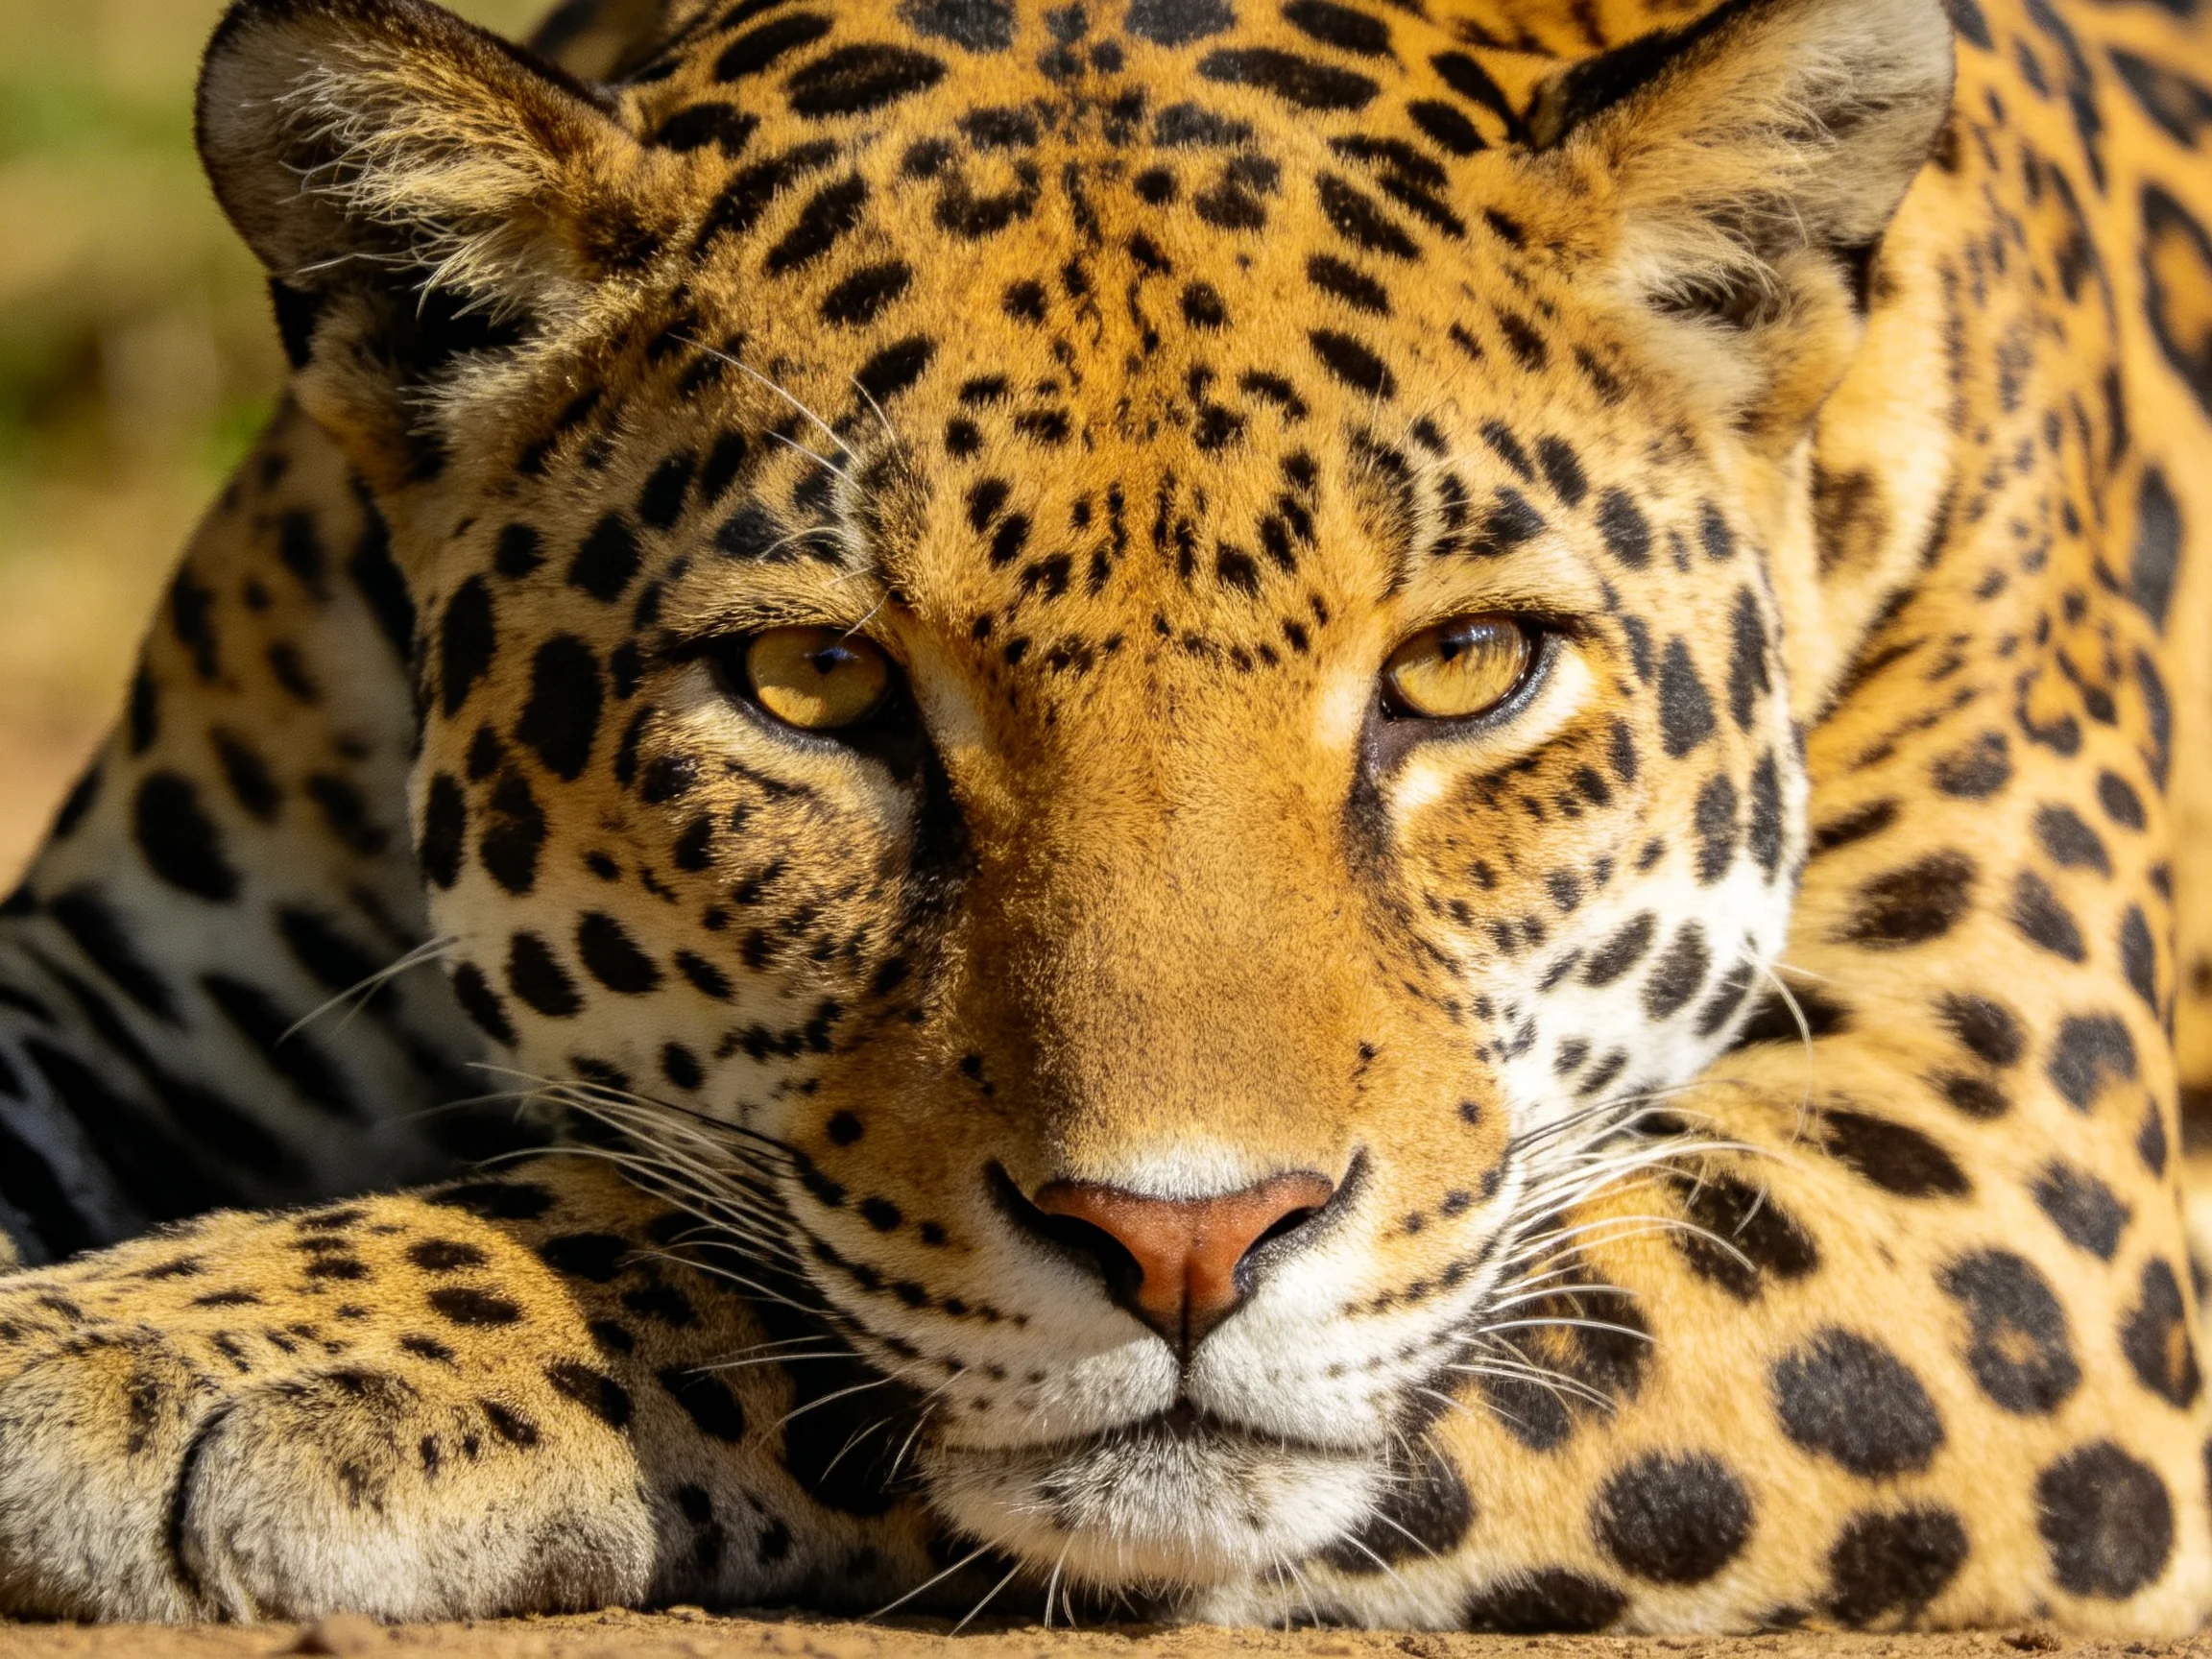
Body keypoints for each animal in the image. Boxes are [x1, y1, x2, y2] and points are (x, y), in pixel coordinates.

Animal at [0, 0, 2209, 1634]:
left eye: (1463, 667)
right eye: (813, 686)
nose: (1188, 1242)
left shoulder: (1991, 1161)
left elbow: (695, 1235)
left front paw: (187, 1359)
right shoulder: (121, 973)